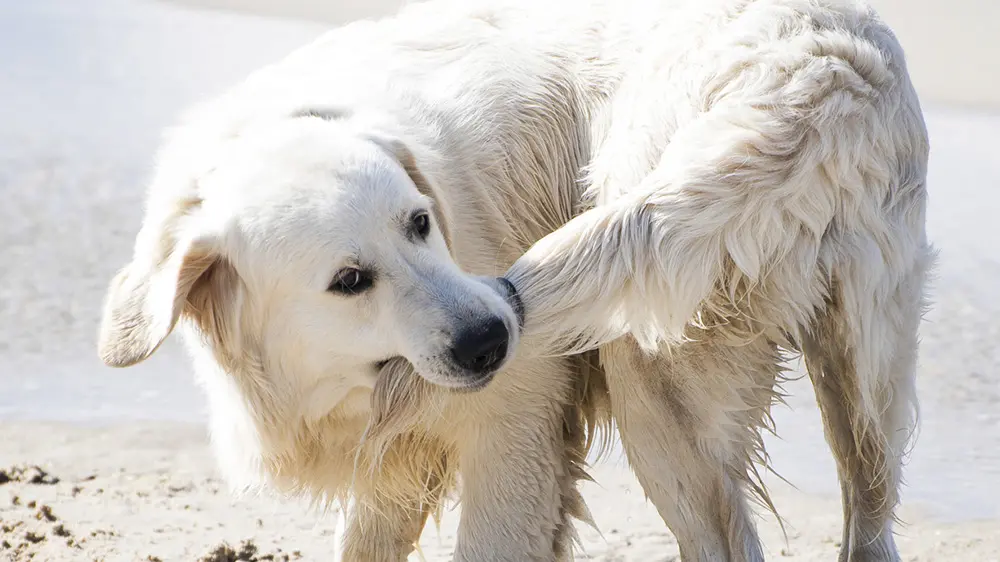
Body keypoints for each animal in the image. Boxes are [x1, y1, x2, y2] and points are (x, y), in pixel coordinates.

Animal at [97, 1, 932, 560]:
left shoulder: (515, 430)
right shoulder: (391, 467)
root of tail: (818, 75)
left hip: (655, 387)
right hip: (865, 375)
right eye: (349, 279)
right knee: (871, 509)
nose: (491, 337)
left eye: (419, 222)